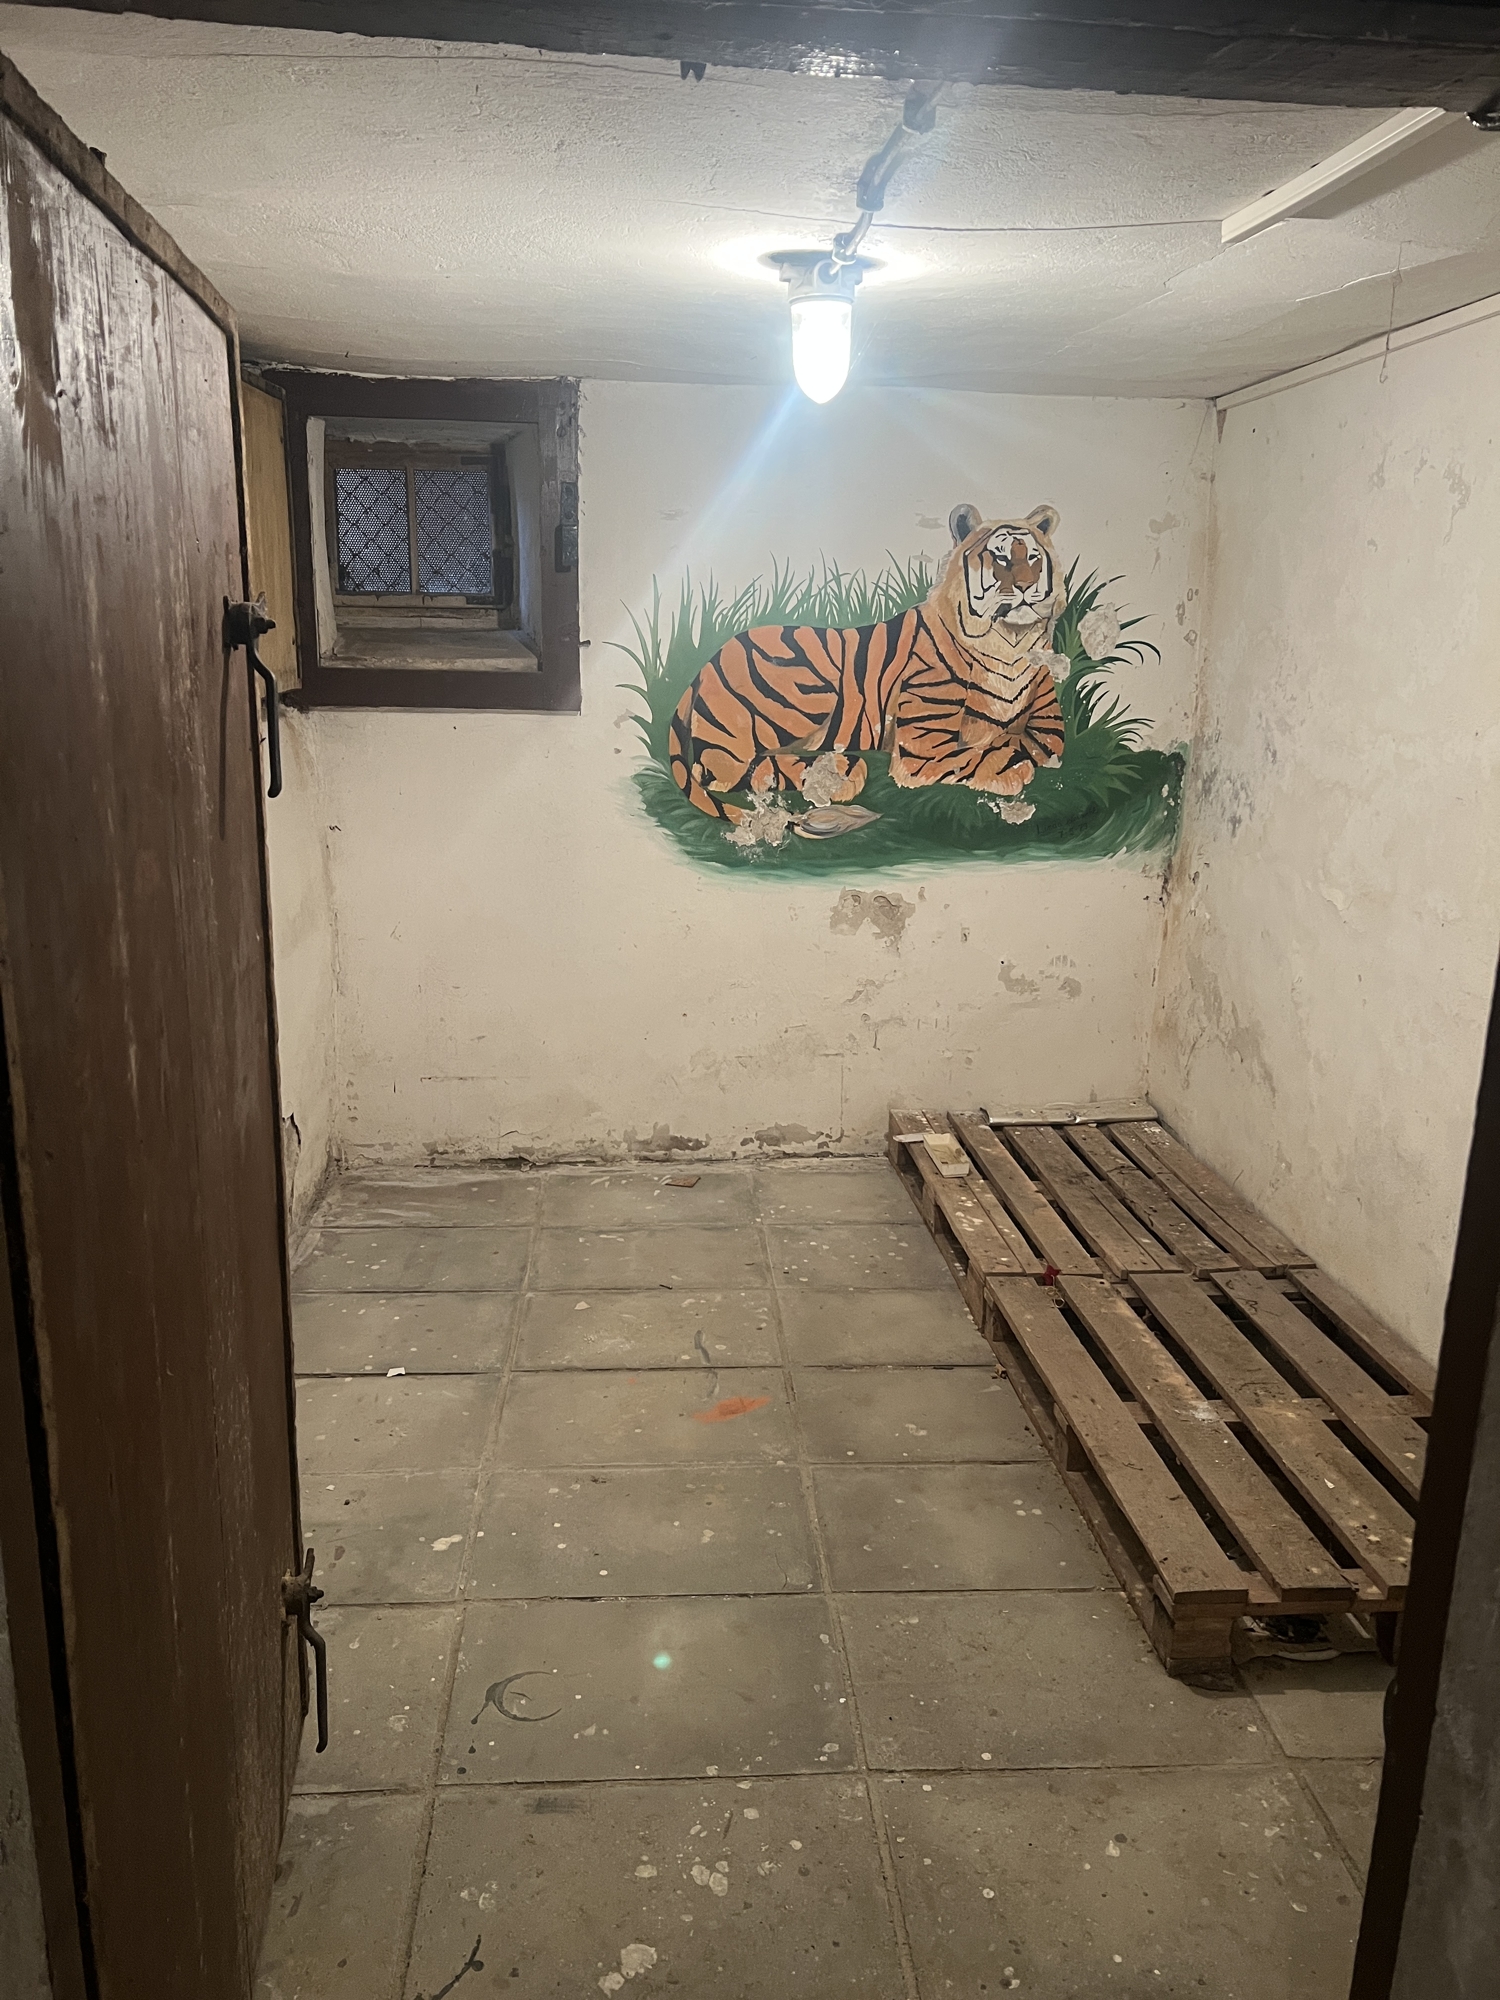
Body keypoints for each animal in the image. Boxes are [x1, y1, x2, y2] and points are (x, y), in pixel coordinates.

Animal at [668, 503, 1067, 829]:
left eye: (1033, 558)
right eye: (1000, 559)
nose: (1026, 587)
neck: (1010, 643)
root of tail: (703, 668)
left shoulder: (1047, 725)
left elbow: (1044, 744)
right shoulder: (922, 747)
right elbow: (982, 758)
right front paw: (1010, 765)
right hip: (809, 692)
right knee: (722, 769)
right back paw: (831, 776)